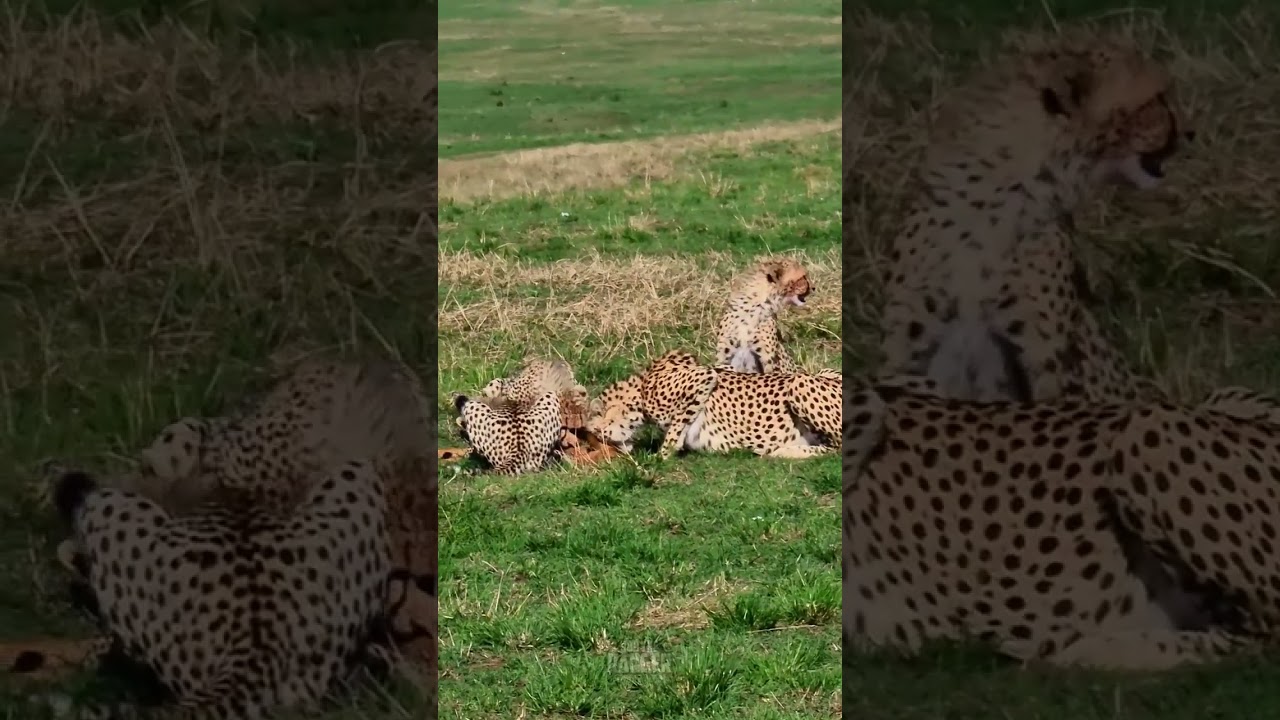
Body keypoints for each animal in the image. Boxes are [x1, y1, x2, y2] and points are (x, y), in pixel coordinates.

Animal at [586, 350, 840, 460]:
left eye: (594, 433)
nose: (598, 446)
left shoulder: (703, 376)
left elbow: (674, 432)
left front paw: (664, 453)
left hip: (799, 383)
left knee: (837, 447)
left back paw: (786, 451)